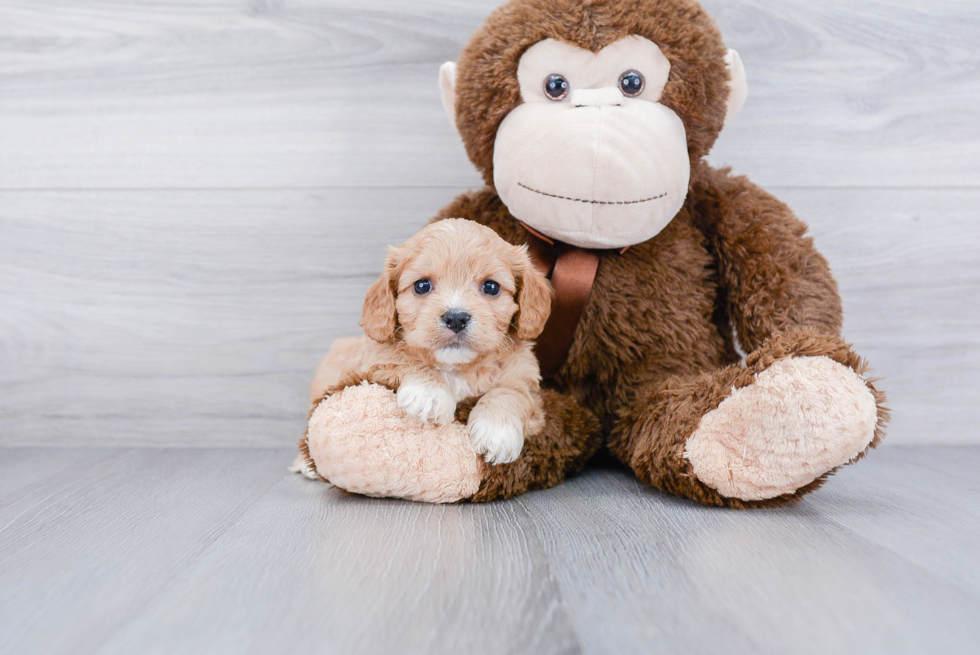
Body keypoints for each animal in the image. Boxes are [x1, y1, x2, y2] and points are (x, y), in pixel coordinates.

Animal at [304, 219, 552, 466]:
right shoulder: (372, 360)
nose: (456, 318)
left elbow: (511, 392)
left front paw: (497, 430)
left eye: (491, 287)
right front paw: (429, 393)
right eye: (422, 285)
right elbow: (402, 358)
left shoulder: (527, 380)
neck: (456, 367)